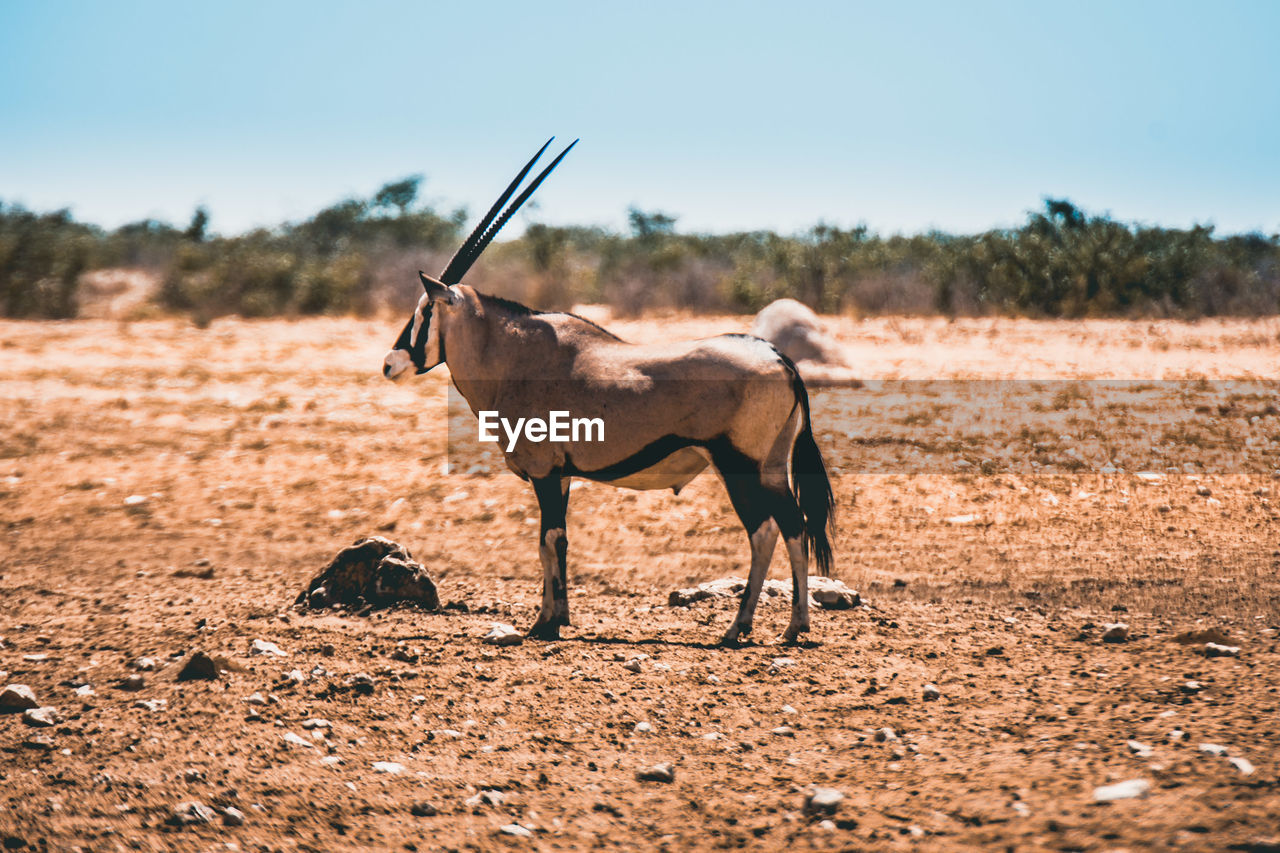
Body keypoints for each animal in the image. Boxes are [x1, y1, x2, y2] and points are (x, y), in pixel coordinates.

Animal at [384, 139, 834, 640]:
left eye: (424, 311)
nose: (391, 364)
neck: (515, 356)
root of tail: (777, 357)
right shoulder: (561, 475)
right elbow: (557, 542)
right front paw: (558, 616)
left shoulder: (544, 472)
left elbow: (547, 539)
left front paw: (543, 623)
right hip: (772, 467)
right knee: (794, 526)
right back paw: (794, 625)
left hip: (739, 464)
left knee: (764, 530)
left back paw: (739, 628)